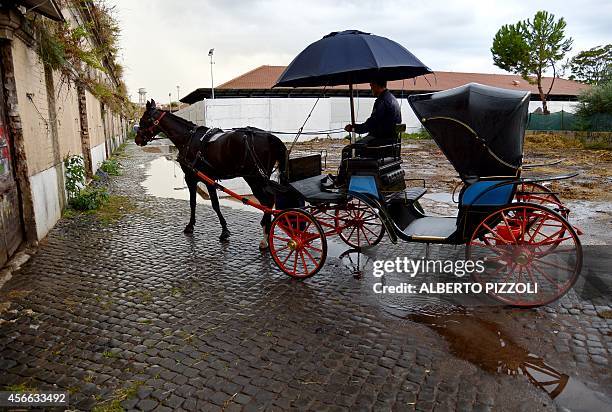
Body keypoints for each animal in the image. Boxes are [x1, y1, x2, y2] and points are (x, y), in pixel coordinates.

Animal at [134, 100, 286, 248]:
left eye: (143, 120)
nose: (137, 139)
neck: (188, 138)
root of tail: (269, 137)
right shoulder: (198, 179)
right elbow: (195, 203)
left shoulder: (196, 178)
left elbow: (210, 204)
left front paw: (221, 230)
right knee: (268, 201)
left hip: (254, 178)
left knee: (268, 201)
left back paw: (265, 235)